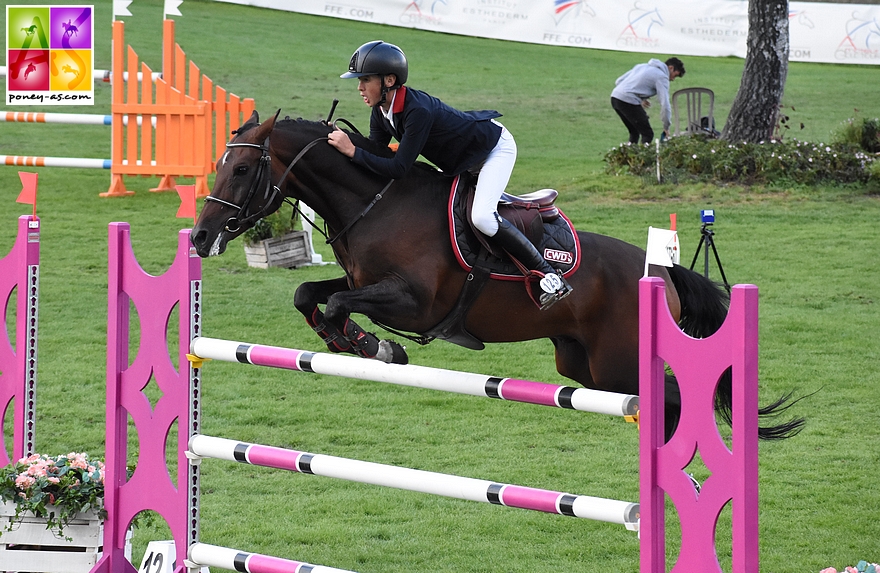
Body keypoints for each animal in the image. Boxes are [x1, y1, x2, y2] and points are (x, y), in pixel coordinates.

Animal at [192, 113, 804, 442]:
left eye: (241, 168)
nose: (199, 238)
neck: (374, 203)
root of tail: (664, 273)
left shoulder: (415, 302)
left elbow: (344, 306)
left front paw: (375, 347)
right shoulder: (360, 281)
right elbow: (309, 293)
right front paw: (351, 344)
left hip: (619, 364)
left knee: (677, 398)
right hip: (583, 366)